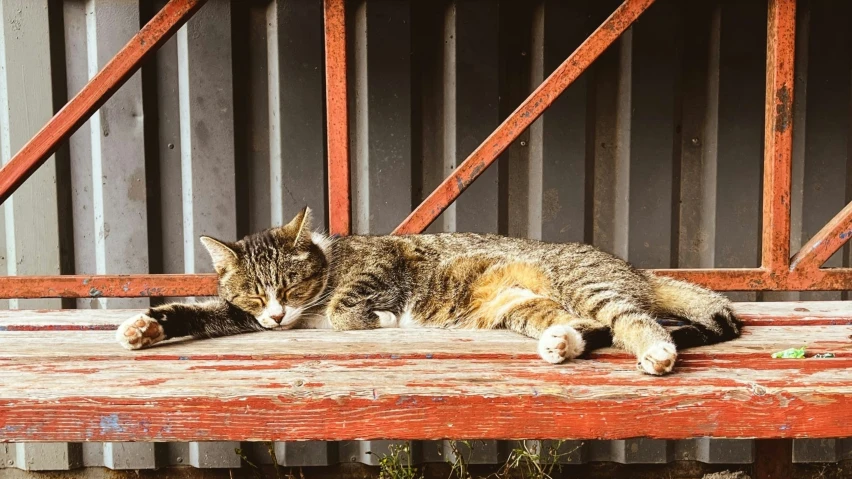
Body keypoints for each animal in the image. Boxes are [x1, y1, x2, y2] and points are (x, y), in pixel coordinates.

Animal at [116, 206, 744, 376]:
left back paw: (656, 351)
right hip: (521, 308)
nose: (274, 317)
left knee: (632, 320)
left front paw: (378, 319)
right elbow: (198, 311)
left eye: (291, 284)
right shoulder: (239, 315)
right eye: (252, 294)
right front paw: (145, 326)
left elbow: (346, 309)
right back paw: (562, 342)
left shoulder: (383, 263)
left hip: (588, 285)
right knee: (586, 328)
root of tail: (634, 268)